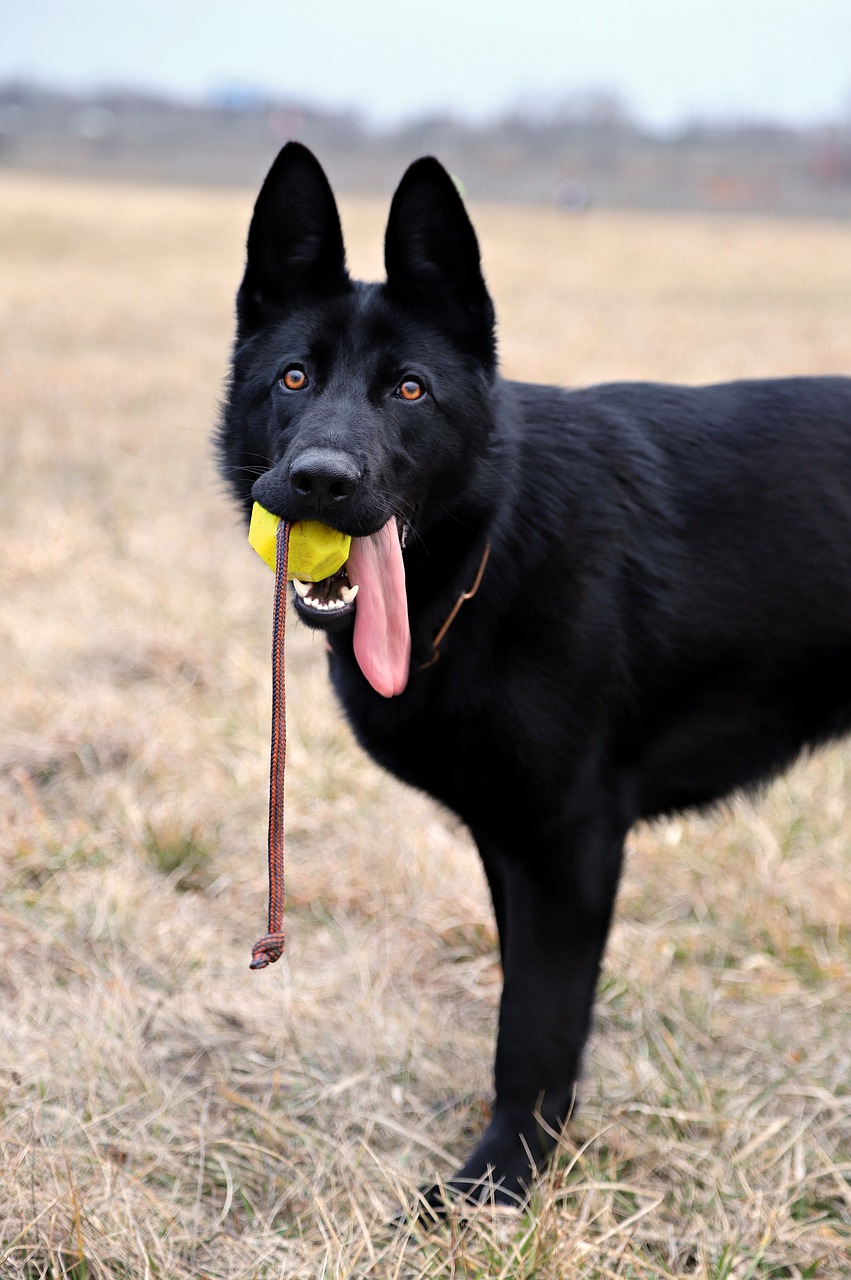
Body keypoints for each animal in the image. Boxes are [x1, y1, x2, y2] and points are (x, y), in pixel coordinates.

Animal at [217, 142, 849, 1208]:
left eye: (411, 391)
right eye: (294, 377)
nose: (319, 482)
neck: (487, 549)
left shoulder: (569, 845)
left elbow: (535, 1024)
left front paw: (499, 1183)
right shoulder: (506, 841)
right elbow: (531, 1000)